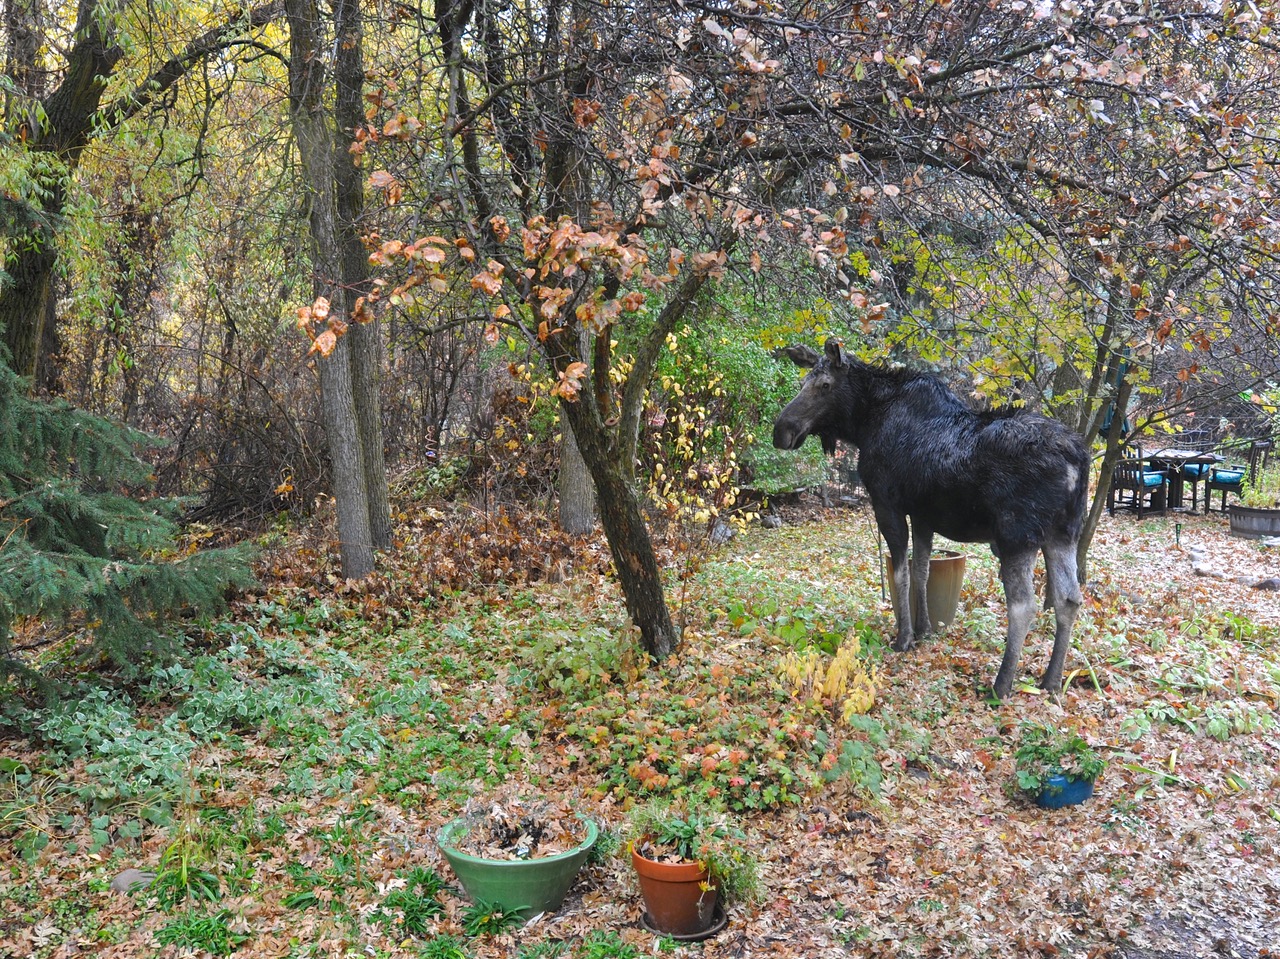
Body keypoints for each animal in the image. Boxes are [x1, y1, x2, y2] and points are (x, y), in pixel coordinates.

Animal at [773, 340, 1085, 701]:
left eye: (824, 385)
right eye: (803, 382)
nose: (781, 431)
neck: (864, 424)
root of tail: (1078, 459)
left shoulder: (887, 504)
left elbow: (901, 573)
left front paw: (904, 637)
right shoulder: (923, 515)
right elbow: (922, 571)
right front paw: (924, 630)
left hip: (1017, 536)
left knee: (1024, 605)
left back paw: (1001, 684)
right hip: (1062, 535)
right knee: (1068, 599)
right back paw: (1052, 680)